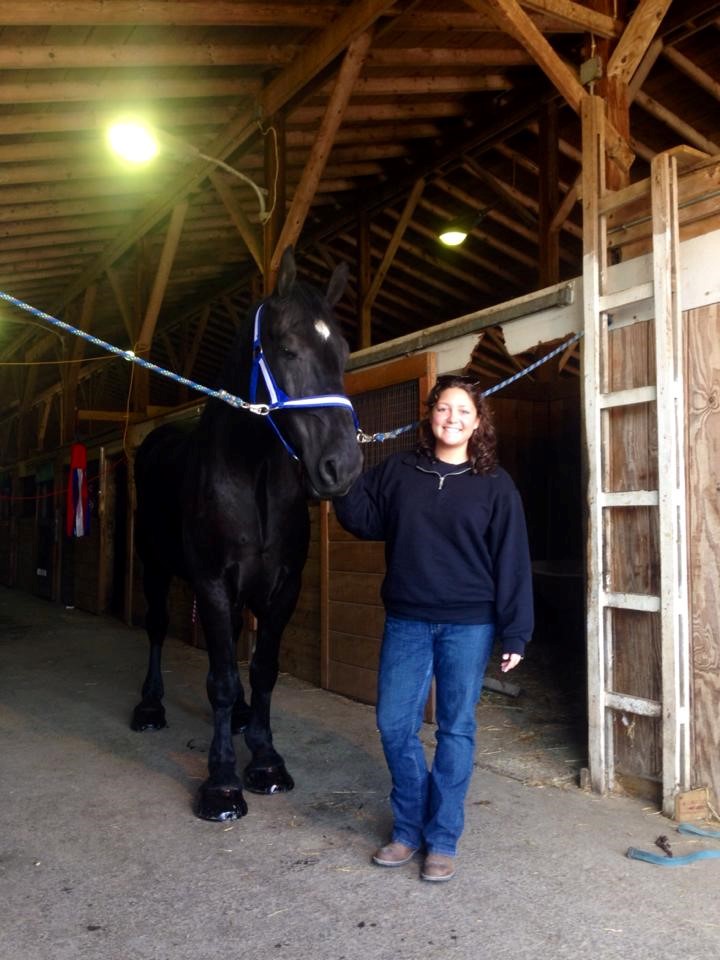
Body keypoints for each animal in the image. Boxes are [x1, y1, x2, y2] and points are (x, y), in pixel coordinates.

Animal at [132, 248, 362, 816]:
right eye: (287, 348)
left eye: (343, 352)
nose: (342, 468)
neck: (251, 474)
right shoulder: (213, 583)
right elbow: (219, 678)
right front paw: (221, 783)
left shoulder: (282, 587)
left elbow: (261, 668)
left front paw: (265, 758)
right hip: (153, 564)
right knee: (155, 627)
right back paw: (150, 707)